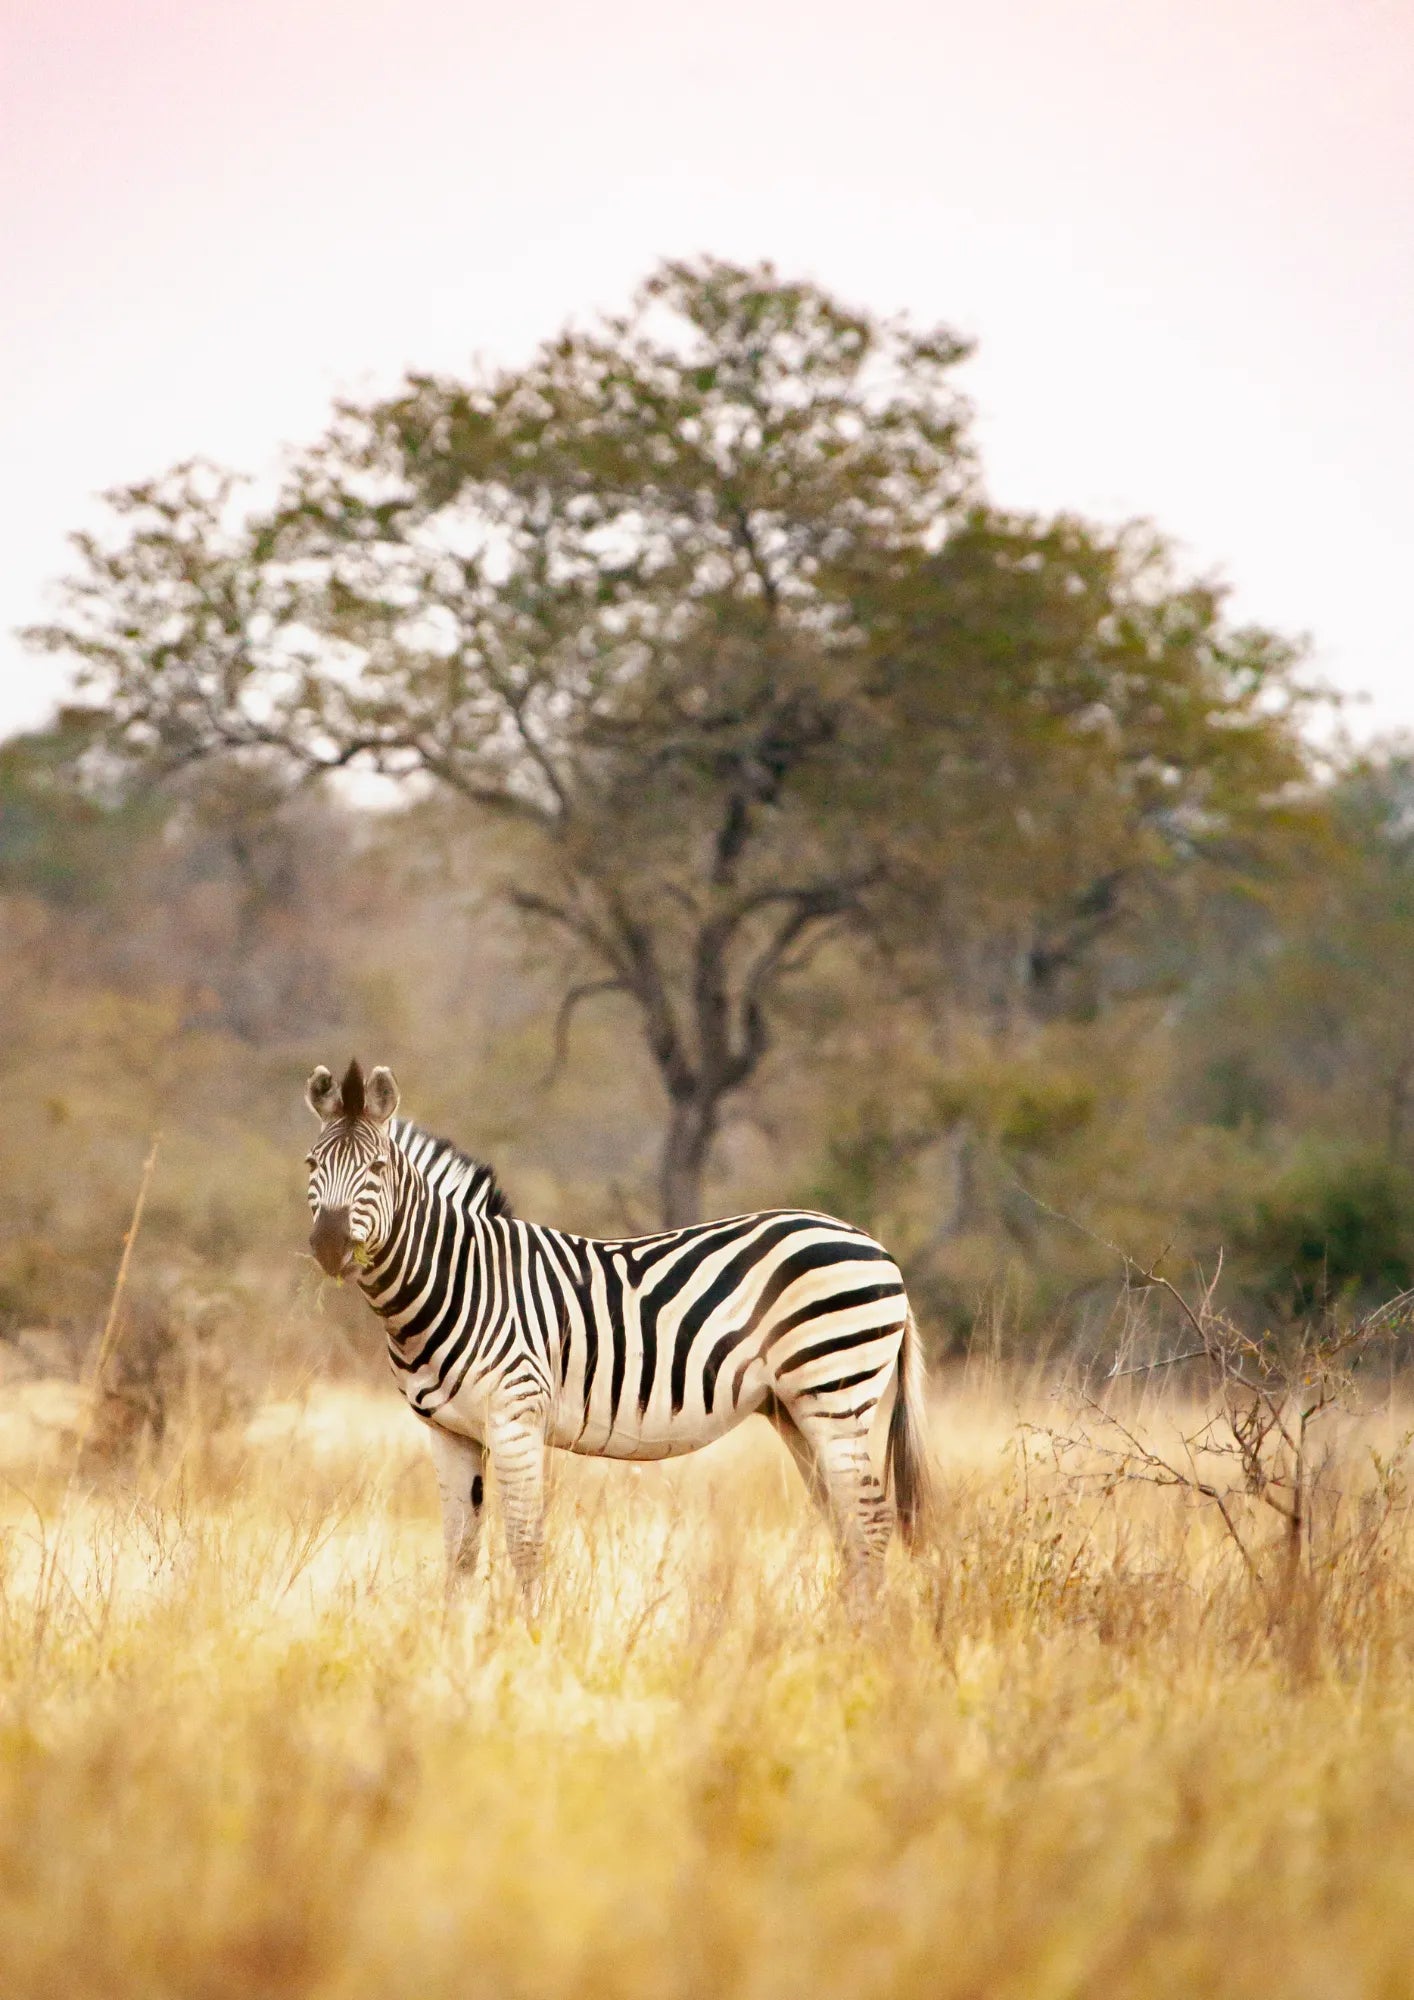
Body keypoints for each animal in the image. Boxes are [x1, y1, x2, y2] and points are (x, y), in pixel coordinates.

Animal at [304, 1058, 931, 1597]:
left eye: (378, 1170)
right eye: (311, 1166)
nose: (330, 1245)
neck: (461, 1280)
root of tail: (875, 1246)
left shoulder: (515, 1417)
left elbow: (525, 1545)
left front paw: (526, 1639)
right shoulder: (448, 1431)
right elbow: (460, 1552)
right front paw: (457, 1640)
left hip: (835, 1393)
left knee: (870, 1523)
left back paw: (864, 1638)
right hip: (796, 1410)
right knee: (847, 1525)